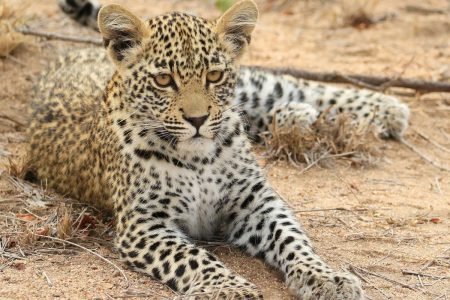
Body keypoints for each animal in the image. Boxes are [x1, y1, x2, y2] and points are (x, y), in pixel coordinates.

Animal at [26, 1, 410, 298]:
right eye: (163, 80)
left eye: (213, 76)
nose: (197, 119)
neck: (198, 158)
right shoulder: (144, 224)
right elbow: (193, 258)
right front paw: (230, 288)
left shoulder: (256, 201)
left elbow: (292, 238)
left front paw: (325, 277)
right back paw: (297, 118)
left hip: (257, 86)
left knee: (302, 87)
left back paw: (388, 108)